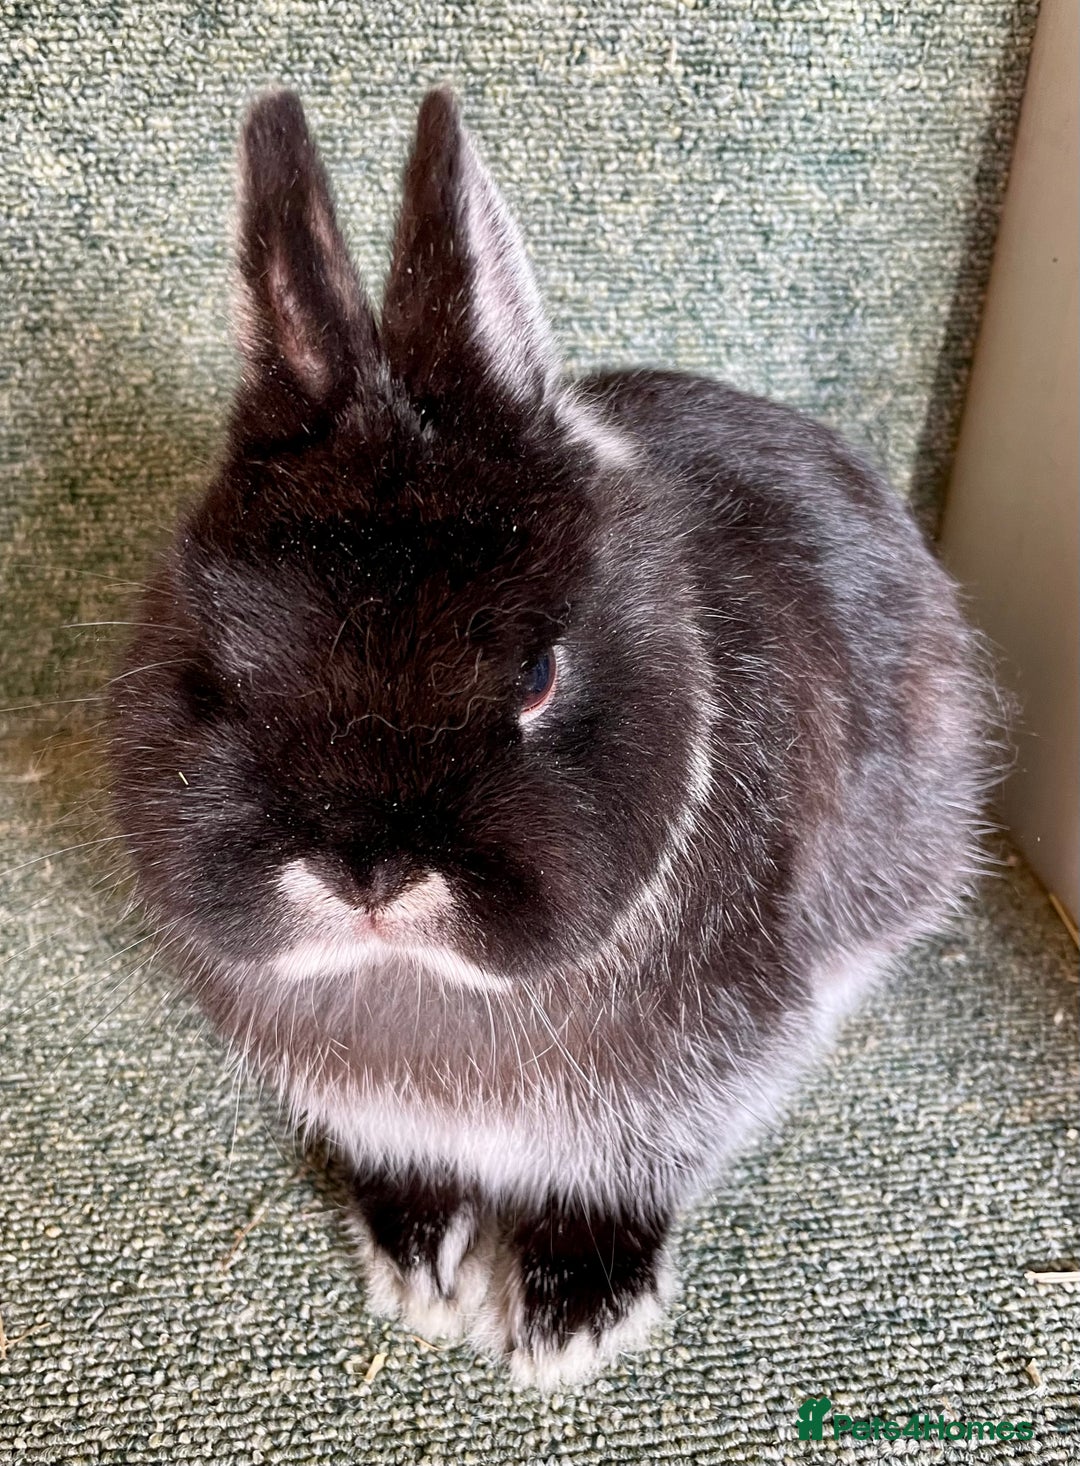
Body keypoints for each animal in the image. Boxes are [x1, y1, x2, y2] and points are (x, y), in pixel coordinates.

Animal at [108, 87, 991, 1389]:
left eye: (536, 673)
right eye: (219, 671)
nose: (369, 871)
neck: (420, 985)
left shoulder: (693, 1078)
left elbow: (620, 1178)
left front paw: (568, 1316)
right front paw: (417, 1265)